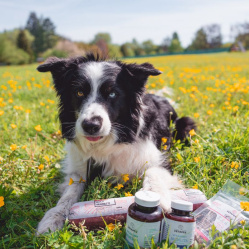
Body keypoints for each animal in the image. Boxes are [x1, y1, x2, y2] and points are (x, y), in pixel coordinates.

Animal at [36, 53, 196, 234]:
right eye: (79, 92)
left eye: (112, 94)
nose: (91, 125)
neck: (106, 145)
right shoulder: (79, 169)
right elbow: (69, 192)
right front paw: (54, 216)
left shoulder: (159, 160)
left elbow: (152, 172)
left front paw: (157, 199)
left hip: (185, 125)